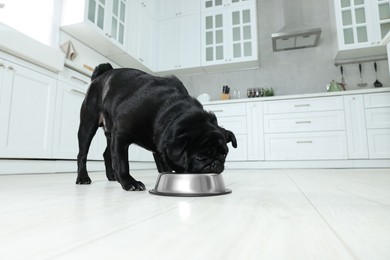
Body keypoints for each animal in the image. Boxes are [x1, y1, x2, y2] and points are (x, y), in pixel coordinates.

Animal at [75, 63, 236, 191]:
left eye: (224, 154)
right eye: (200, 158)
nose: (215, 164)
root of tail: (99, 76)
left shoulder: (158, 145)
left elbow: (163, 164)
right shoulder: (121, 135)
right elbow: (122, 162)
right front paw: (129, 182)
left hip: (110, 134)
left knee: (107, 154)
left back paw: (112, 176)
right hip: (88, 125)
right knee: (82, 154)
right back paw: (83, 178)